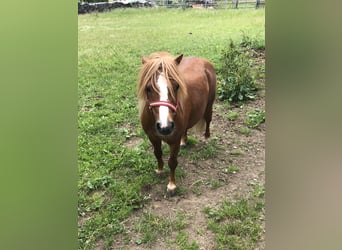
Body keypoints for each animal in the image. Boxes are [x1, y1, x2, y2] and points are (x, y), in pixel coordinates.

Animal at [137, 51, 215, 193]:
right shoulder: (153, 137)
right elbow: (157, 153)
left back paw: (206, 138)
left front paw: (172, 185)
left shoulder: (174, 141)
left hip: (209, 106)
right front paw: (160, 170)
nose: (165, 127)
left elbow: (172, 162)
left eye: (177, 86)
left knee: (208, 120)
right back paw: (184, 141)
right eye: (148, 88)